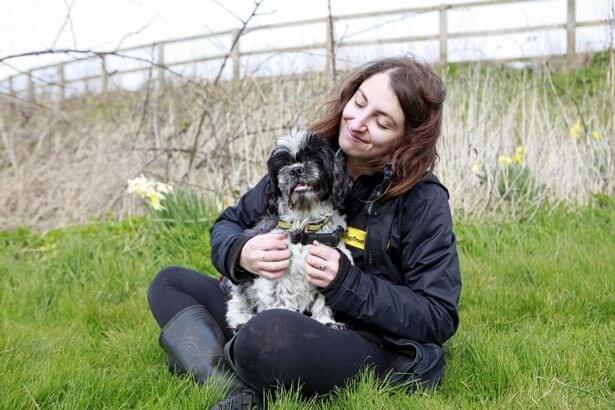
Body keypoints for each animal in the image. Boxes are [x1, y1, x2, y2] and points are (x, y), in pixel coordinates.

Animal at [225, 130, 352, 332]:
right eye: (283, 164)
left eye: (312, 158)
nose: (296, 169)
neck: (304, 226)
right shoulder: (274, 273)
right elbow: (279, 297)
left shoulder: (324, 272)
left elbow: (322, 301)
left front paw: (326, 321)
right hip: (238, 287)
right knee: (236, 303)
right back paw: (240, 320)